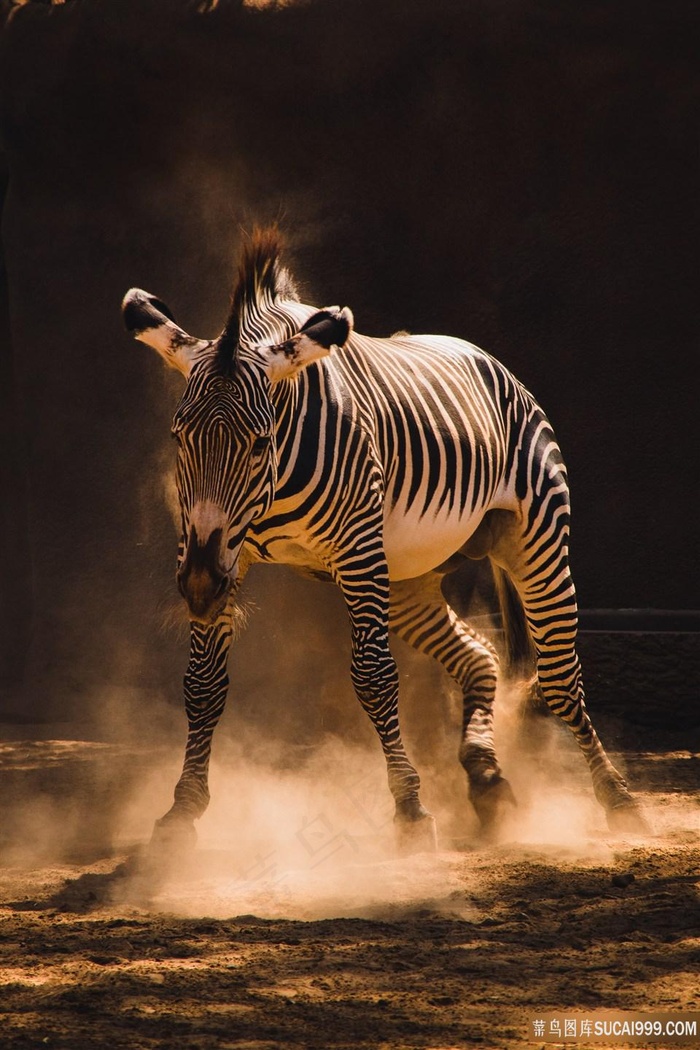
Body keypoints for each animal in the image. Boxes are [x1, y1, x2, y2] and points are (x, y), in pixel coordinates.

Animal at [124, 225, 646, 848]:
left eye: (259, 443)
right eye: (178, 438)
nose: (201, 589)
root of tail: (487, 358)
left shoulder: (354, 549)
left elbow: (373, 677)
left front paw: (411, 809)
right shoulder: (219, 549)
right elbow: (203, 685)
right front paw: (182, 809)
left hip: (533, 538)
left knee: (561, 680)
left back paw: (617, 797)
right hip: (405, 578)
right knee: (480, 656)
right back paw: (487, 778)